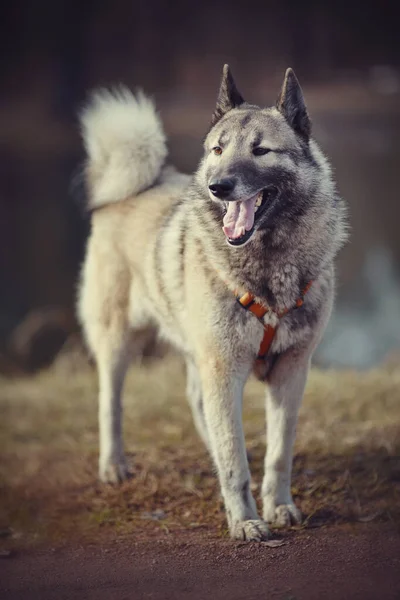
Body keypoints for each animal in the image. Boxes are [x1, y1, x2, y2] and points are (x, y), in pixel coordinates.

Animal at [77, 67, 346, 544]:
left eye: (261, 150)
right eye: (218, 149)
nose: (217, 185)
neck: (266, 270)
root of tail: (135, 186)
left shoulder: (291, 371)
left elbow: (278, 453)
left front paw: (279, 506)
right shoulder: (224, 367)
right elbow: (235, 461)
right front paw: (243, 520)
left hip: (197, 349)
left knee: (200, 405)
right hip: (119, 340)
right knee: (111, 403)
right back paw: (114, 465)